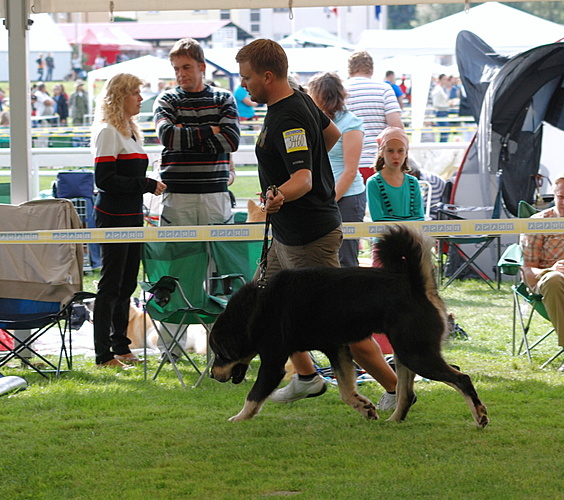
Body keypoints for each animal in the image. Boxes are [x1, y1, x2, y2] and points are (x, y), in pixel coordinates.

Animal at [212, 225, 490, 428]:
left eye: (220, 354)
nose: (213, 375)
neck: (257, 307)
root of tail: (418, 286)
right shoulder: (337, 348)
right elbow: (346, 390)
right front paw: (364, 408)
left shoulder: (273, 363)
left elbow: (254, 395)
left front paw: (239, 417)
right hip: (404, 353)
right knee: (407, 394)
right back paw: (393, 421)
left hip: (416, 354)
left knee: (461, 378)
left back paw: (480, 417)